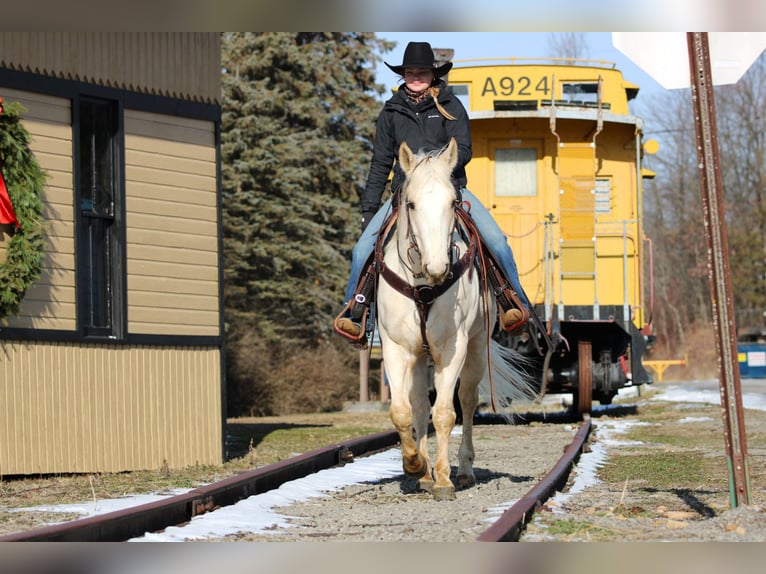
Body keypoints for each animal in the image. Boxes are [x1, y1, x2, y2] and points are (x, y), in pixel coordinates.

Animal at [375, 137, 536, 501]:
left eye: (453, 202)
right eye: (412, 204)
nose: (437, 267)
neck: (423, 285)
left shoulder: (453, 347)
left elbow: (446, 413)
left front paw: (444, 480)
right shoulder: (396, 347)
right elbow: (402, 411)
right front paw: (414, 464)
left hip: (475, 348)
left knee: (467, 400)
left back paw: (462, 471)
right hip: (420, 357)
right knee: (420, 404)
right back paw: (423, 474)